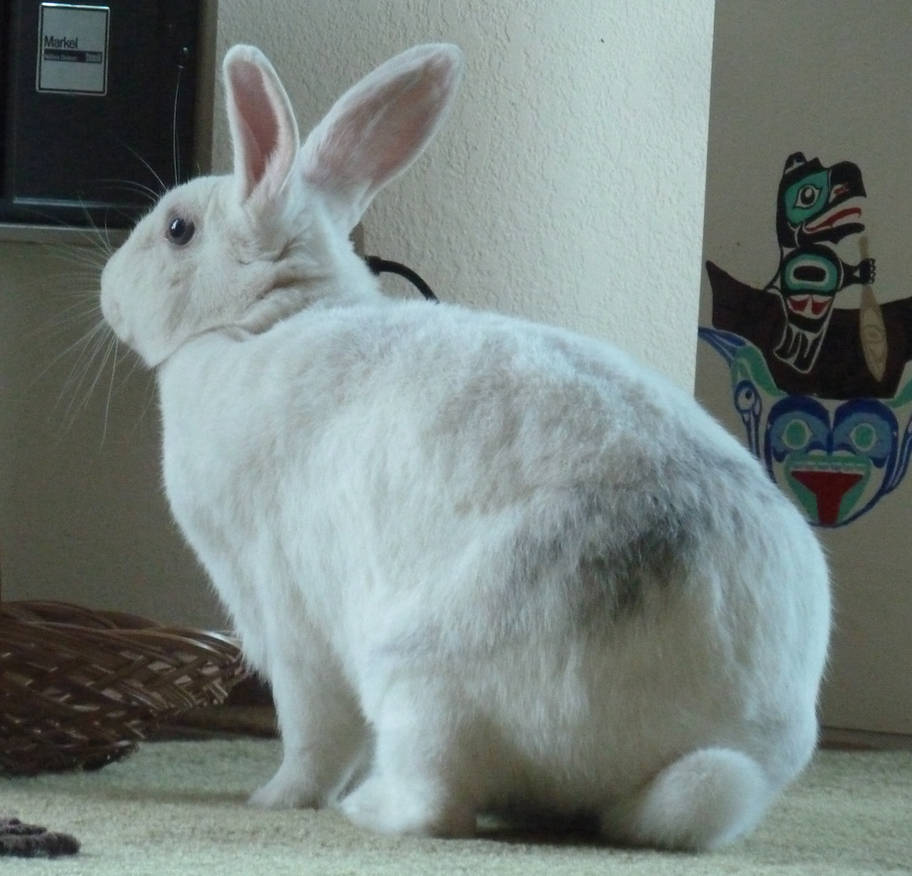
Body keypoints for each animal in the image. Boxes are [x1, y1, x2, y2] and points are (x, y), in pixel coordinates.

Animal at [99, 42, 830, 851]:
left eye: (178, 229)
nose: (106, 290)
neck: (262, 322)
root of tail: (712, 733)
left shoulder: (290, 620)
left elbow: (314, 738)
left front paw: (275, 800)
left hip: (421, 680)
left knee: (437, 805)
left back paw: (367, 808)